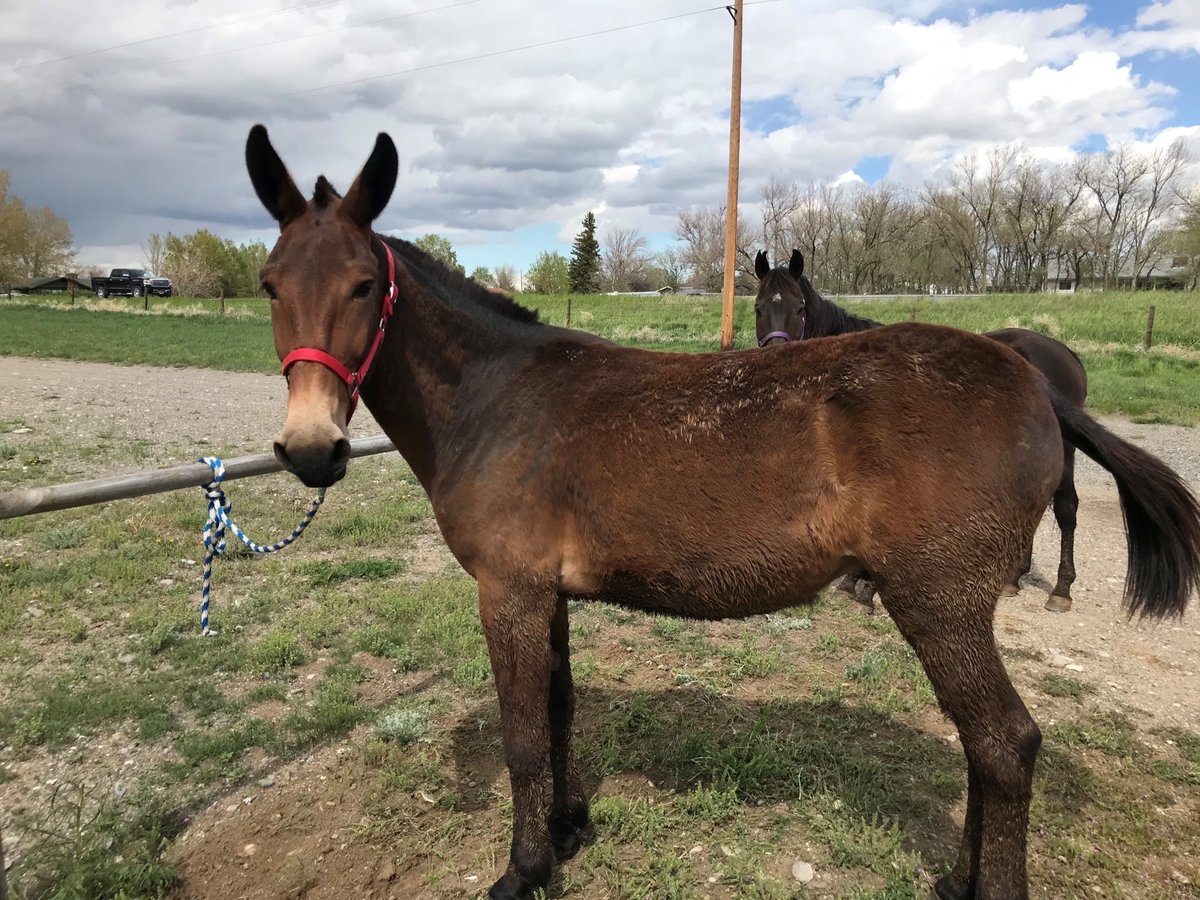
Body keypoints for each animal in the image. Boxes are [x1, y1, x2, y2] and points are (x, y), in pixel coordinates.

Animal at [755, 249, 1091, 615]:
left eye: (799, 308)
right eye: (758, 307)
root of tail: (1063, 352)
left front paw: (864, 589)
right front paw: (852, 582)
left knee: (1066, 508)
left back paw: (1061, 590)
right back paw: (1014, 578)